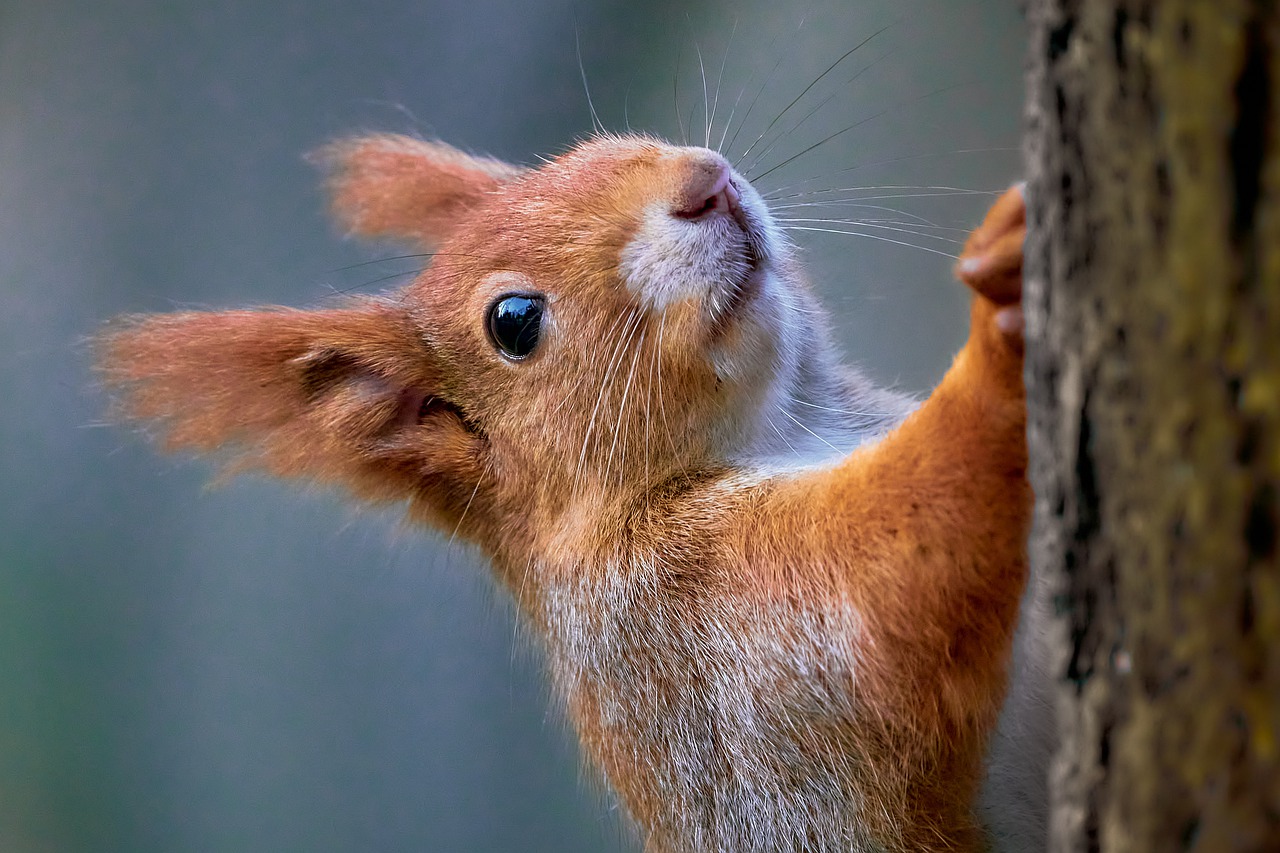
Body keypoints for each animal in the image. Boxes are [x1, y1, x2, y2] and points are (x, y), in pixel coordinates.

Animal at [102, 131, 1039, 845]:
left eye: (601, 145)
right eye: (514, 322)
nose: (705, 182)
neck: (795, 425)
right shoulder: (712, 634)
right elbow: (884, 585)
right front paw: (999, 329)